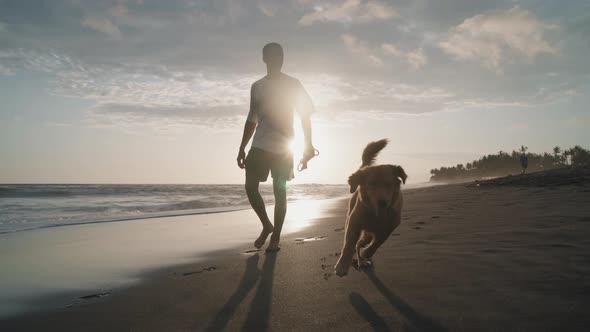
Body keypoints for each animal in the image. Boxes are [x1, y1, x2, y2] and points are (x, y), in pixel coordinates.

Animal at [336, 139, 410, 276]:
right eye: (371, 184)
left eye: (388, 184)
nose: (382, 202)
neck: (376, 215)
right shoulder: (354, 222)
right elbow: (349, 244)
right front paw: (342, 265)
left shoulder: (389, 226)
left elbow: (378, 242)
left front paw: (367, 252)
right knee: (356, 244)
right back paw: (360, 261)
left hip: (367, 235)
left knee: (360, 244)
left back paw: (363, 259)